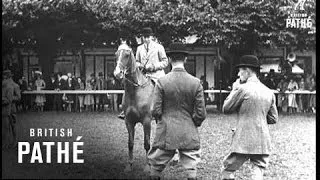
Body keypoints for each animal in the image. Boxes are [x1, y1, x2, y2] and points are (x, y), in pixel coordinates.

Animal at [113, 43, 154, 172]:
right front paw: (129, 165)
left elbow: (147, 144)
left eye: (127, 55)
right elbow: (130, 143)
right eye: (116, 54)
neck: (135, 91)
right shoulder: (129, 121)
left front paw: (147, 166)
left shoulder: (146, 121)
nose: (117, 73)